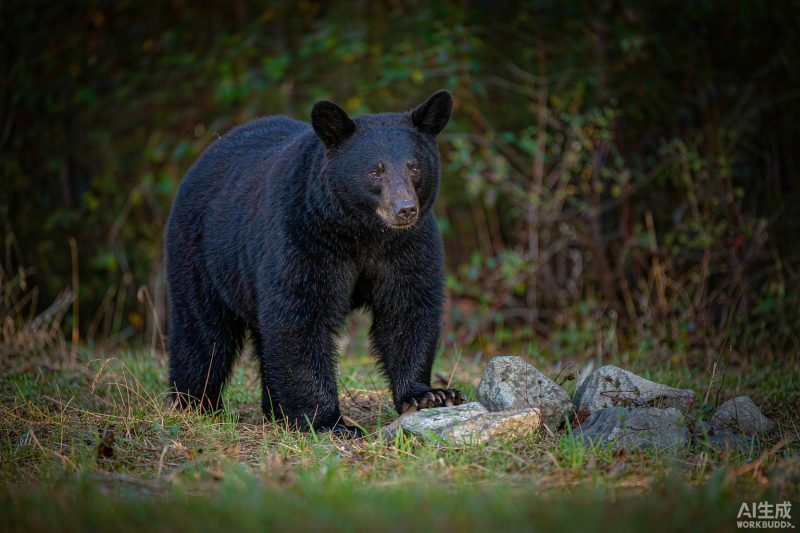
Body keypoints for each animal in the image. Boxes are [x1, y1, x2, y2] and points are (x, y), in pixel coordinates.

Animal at [165, 90, 466, 436]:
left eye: (414, 167)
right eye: (375, 170)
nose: (404, 209)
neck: (362, 232)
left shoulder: (407, 246)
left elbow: (407, 309)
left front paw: (429, 395)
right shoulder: (303, 236)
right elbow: (300, 316)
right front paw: (329, 422)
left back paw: (274, 410)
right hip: (203, 254)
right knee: (204, 333)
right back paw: (195, 404)